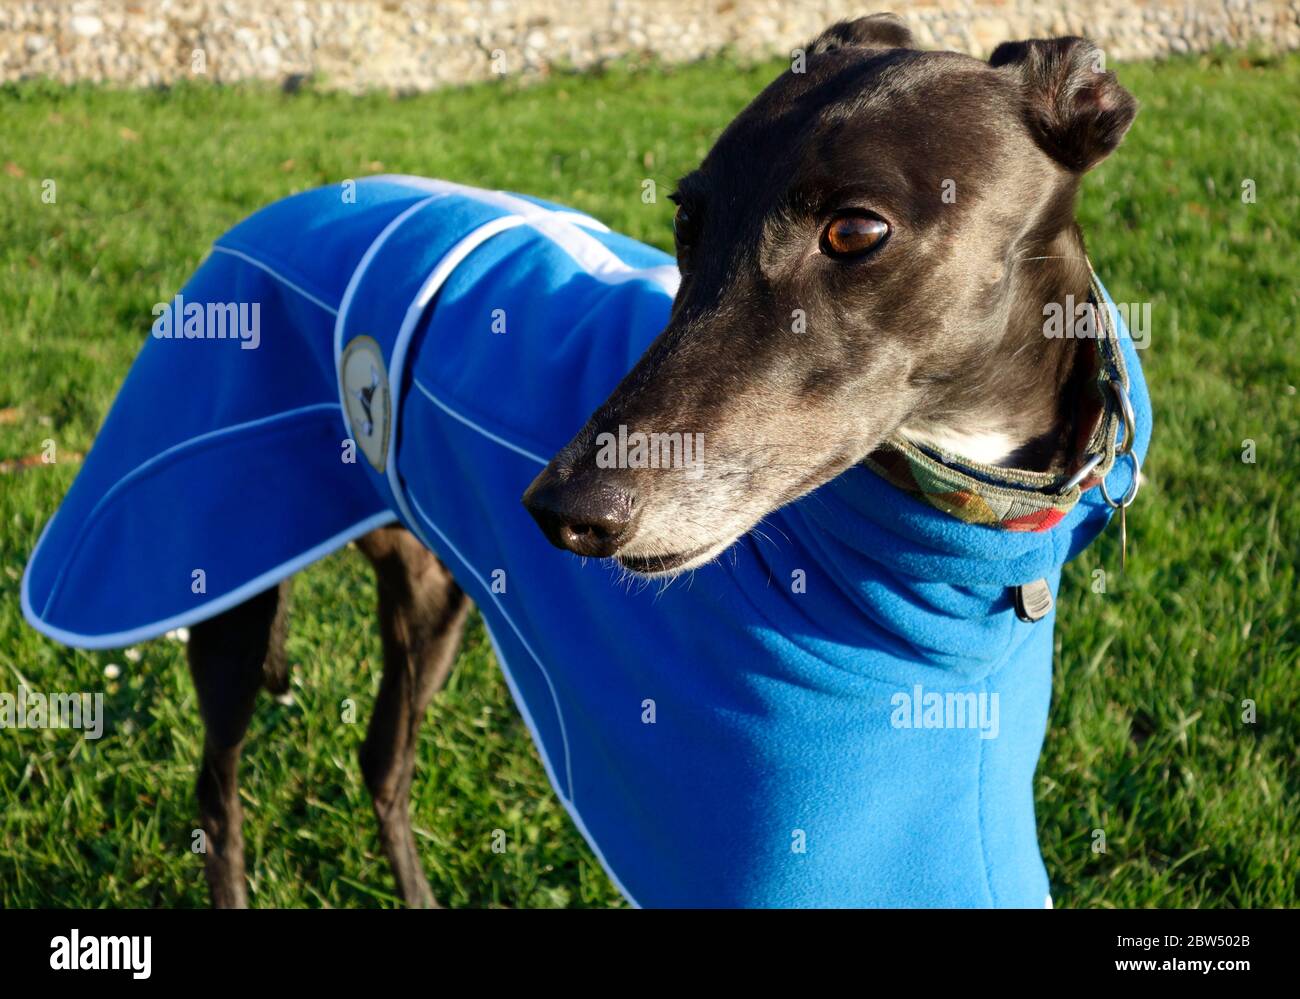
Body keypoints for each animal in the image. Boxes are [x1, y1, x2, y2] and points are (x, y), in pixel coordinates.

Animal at [25, 15, 1149, 905]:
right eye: (687, 216)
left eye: (857, 230)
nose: (562, 509)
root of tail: (269, 210)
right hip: (209, 559)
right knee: (219, 789)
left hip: (429, 597)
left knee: (381, 761)